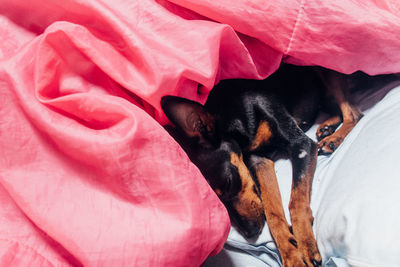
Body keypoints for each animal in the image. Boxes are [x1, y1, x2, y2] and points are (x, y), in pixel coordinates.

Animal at [162, 63, 366, 266]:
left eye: (229, 182)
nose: (250, 232)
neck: (234, 116)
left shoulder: (302, 146)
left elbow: (295, 202)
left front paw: (305, 244)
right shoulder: (259, 161)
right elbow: (272, 212)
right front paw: (291, 254)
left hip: (326, 72)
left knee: (355, 113)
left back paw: (334, 138)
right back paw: (327, 128)